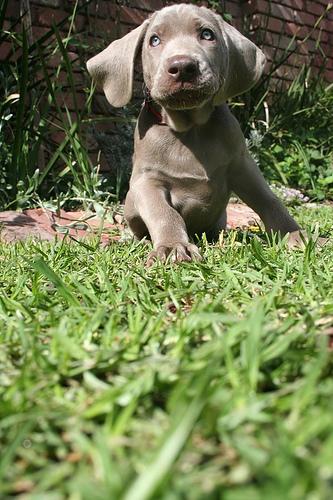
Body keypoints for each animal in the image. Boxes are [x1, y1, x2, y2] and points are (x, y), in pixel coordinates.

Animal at [87, 2, 300, 266]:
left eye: (207, 34)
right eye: (154, 40)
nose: (182, 67)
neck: (191, 129)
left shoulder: (243, 167)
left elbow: (270, 201)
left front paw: (295, 235)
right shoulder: (147, 180)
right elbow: (164, 212)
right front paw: (173, 246)